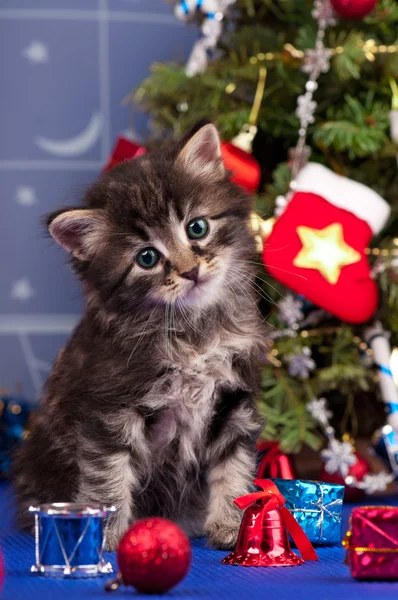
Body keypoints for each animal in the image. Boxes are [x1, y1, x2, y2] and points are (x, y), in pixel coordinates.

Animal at [14, 124, 266, 552]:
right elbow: (108, 478)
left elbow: (233, 467)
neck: (194, 333)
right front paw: (102, 538)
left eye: (197, 227)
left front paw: (233, 526)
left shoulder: (234, 399)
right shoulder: (108, 409)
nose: (190, 270)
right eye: (147, 257)